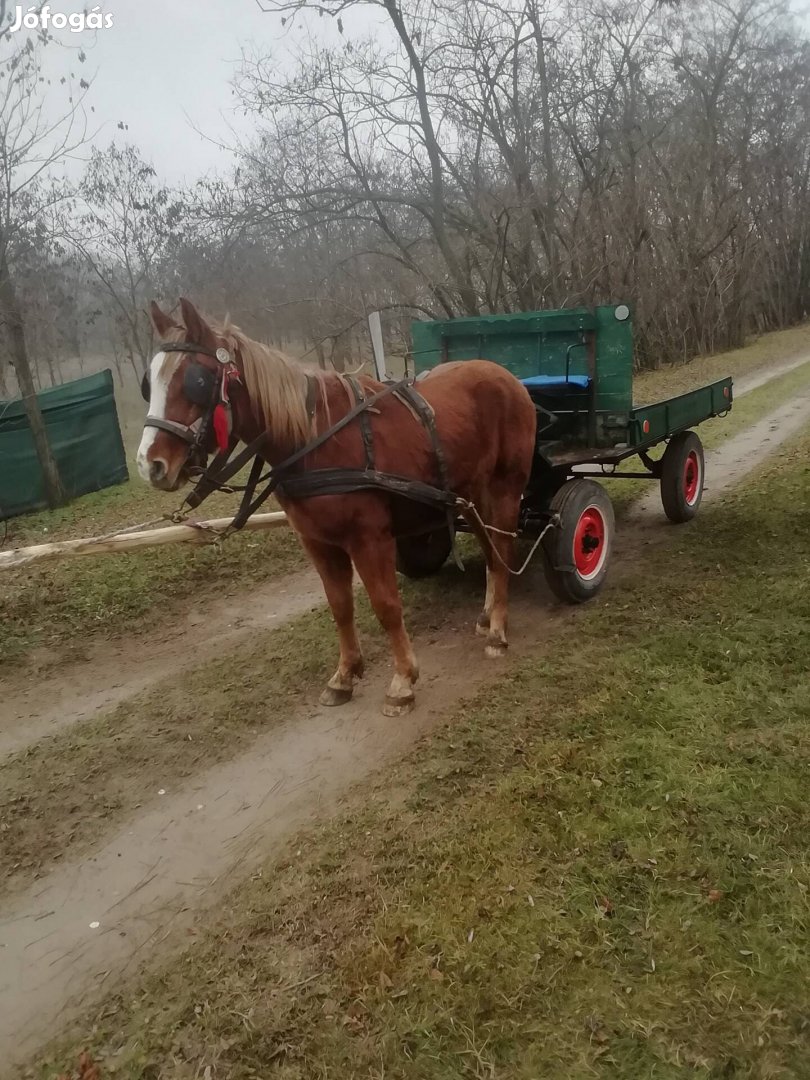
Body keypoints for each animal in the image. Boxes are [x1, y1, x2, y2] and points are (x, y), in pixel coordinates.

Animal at [139, 298, 540, 717]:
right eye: (149, 383)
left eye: (196, 381)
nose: (150, 464)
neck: (313, 439)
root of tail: (506, 375)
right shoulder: (318, 543)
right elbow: (341, 606)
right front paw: (345, 675)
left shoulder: (369, 540)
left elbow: (385, 605)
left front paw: (402, 680)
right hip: (469, 496)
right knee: (491, 550)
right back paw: (487, 615)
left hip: (505, 489)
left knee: (503, 548)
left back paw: (497, 631)